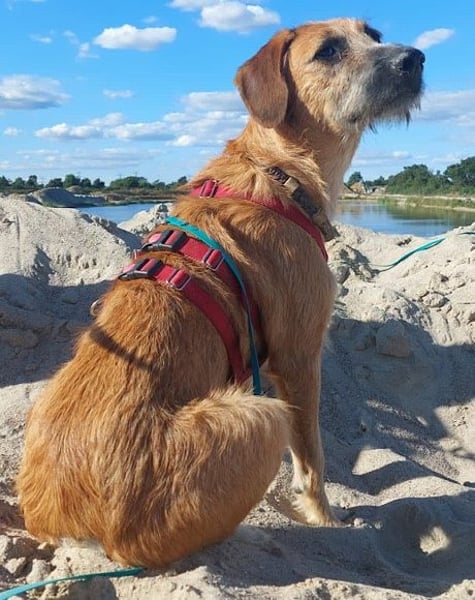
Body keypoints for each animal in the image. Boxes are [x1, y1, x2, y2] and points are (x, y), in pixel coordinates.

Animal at [17, 18, 424, 567]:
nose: (415, 59)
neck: (279, 170)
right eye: (329, 51)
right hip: (262, 415)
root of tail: (69, 525)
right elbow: (313, 458)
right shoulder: (299, 359)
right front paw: (325, 519)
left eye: (374, 34)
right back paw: (255, 536)